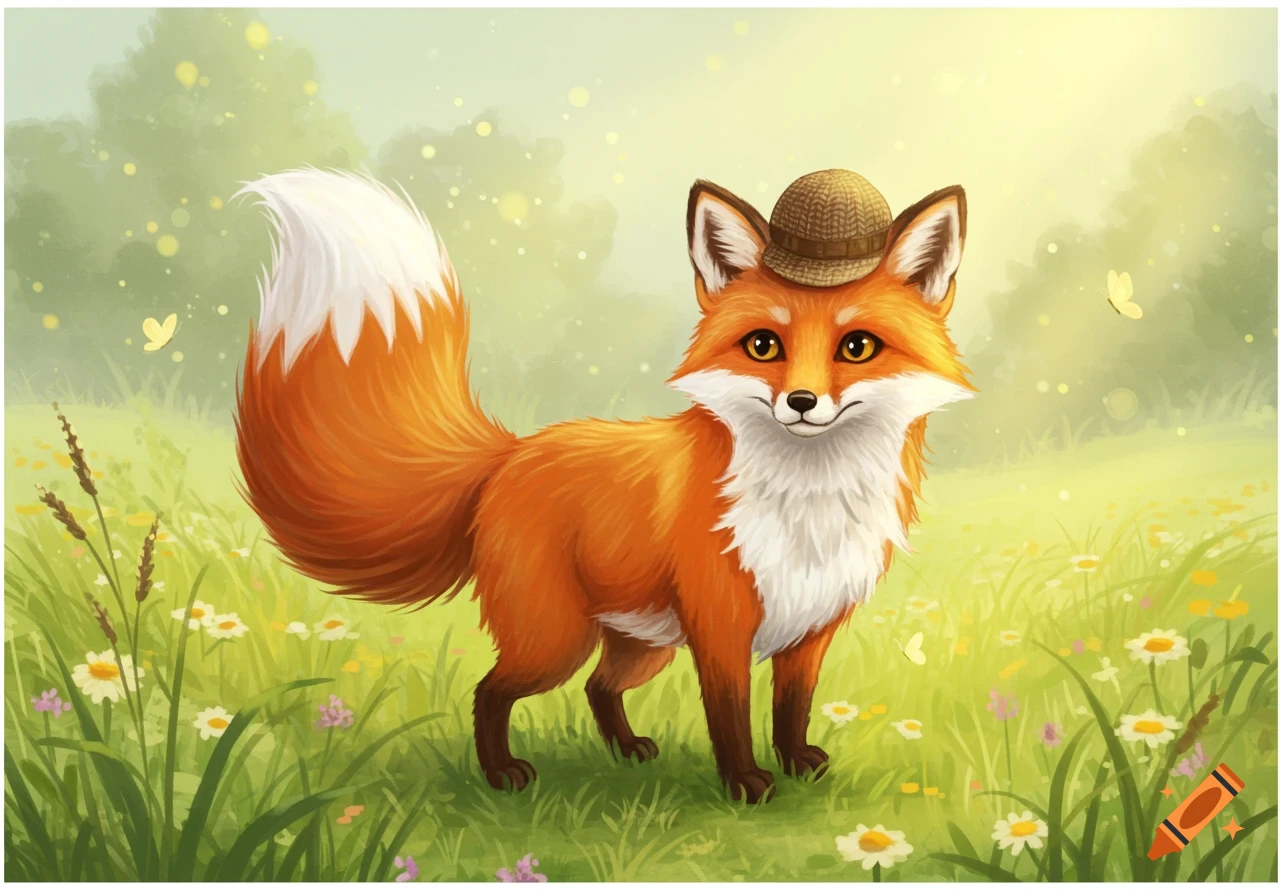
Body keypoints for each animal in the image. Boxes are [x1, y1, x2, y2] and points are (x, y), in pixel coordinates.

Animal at [234, 168, 973, 804]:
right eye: (763, 345)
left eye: (857, 348)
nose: (800, 402)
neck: (808, 504)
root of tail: (511, 452)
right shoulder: (721, 625)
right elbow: (730, 715)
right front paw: (745, 785)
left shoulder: (811, 628)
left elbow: (791, 709)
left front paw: (795, 764)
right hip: (554, 639)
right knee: (491, 690)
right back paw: (501, 774)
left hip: (643, 644)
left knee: (597, 687)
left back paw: (625, 752)